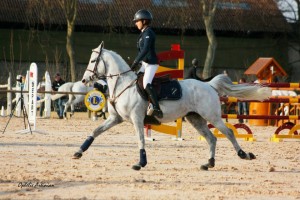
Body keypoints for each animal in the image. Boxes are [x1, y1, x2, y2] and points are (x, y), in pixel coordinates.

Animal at [73, 42, 272, 170]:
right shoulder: (116, 119)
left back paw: (244, 154)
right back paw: (209, 163)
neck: (122, 84)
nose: (84, 80)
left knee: (228, 133)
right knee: (212, 138)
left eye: (93, 61)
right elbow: (95, 131)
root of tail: (208, 85)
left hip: (212, 116)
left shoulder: (137, 119)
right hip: (195, 119)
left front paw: (140, 163)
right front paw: (78, 152)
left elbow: (141, 139)